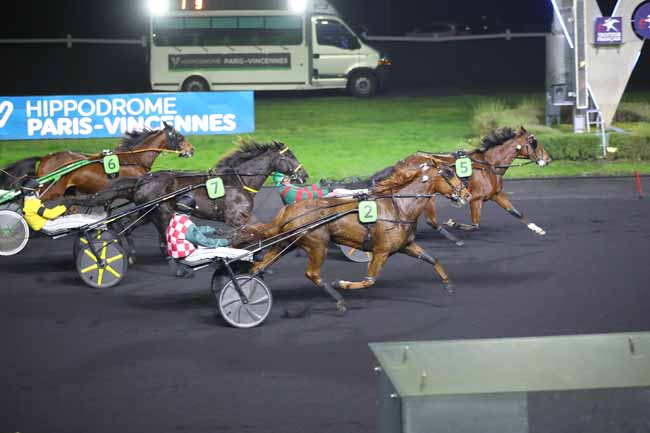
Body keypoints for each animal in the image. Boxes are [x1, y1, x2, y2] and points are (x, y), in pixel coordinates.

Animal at [64, 139, 308, 260]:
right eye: (290, 156)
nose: (304, 175)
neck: (237, 181)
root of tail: (143, 179)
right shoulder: (237, 217)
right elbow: (254, 230)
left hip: (147, 212)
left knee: (126, 225)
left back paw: (130, 254)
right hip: (160, 211)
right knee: (148, 231)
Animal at [233, 154, 470, 312]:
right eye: (449, 173)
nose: (466, 194)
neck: (399, 207)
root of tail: (289, 209)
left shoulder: (406, 246)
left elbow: (432, 259)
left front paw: (448, 284)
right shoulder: (381, 251)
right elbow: (369, 280)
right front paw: (343, 284)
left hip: (286, 244)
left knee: (258, 267)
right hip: (317, 245)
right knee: (312, 274)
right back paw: (338, 299)